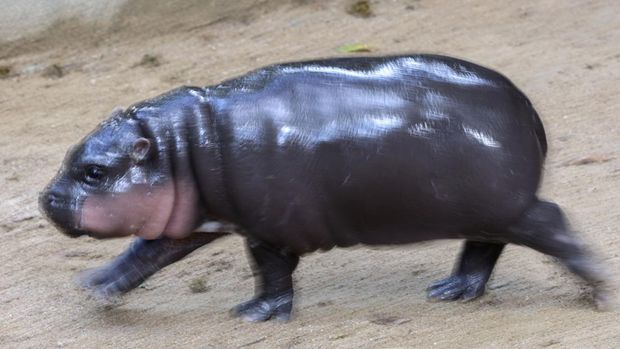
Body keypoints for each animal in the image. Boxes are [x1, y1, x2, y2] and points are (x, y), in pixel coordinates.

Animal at [40, 55, 612, 320]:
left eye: (94, 172)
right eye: (73, 156)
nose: (46, 199)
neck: (182, 144)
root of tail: (527, 106)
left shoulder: (265, 228)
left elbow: (270, 271)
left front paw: (255, 315)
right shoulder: (191, 216)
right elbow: (147, 253)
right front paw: (96, 288)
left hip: (508, 205)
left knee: (552, 224)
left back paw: (600, 292)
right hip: (487, 209)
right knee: (485, 246)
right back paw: (450, 291)